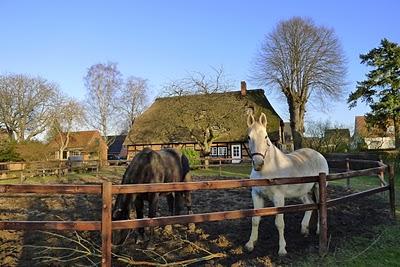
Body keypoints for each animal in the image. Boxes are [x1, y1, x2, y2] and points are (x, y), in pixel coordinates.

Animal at [244, 112, 328, 255]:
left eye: (265, 136)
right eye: (249, 137)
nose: (258, 164)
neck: (268, 169)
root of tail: (318, 154)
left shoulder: (278, 197)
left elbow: (279, 223)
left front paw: (282, 249)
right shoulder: (256, 194)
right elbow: (255, 219)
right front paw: (250, 244)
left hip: (318, 187)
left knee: (319, 206)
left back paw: (318, 230)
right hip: (302, 191)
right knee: (310, 204)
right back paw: (304, 229)